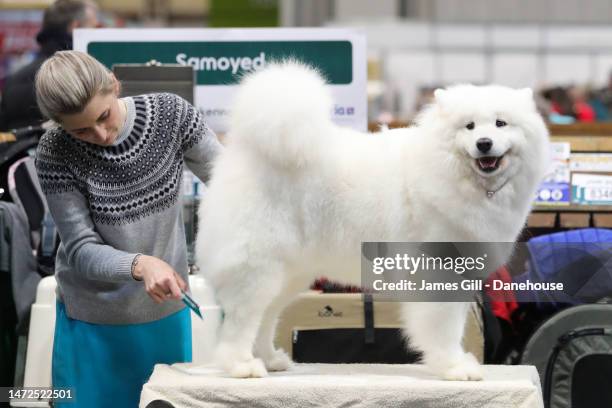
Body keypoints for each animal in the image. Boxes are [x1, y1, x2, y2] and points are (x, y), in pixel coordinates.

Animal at [195, 62, 548, 380]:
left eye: (501, 123)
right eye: (470, 127)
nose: (484, 143)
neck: (453, 176)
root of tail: (245, 149)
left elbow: (455, 325)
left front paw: (457, 362)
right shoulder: (437, 272)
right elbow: (444, 328)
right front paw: (453, 367)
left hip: (289, 273)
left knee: (266, 316)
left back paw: (270, 360)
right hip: (259, 267)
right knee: (241, 321)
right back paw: (242, 366)